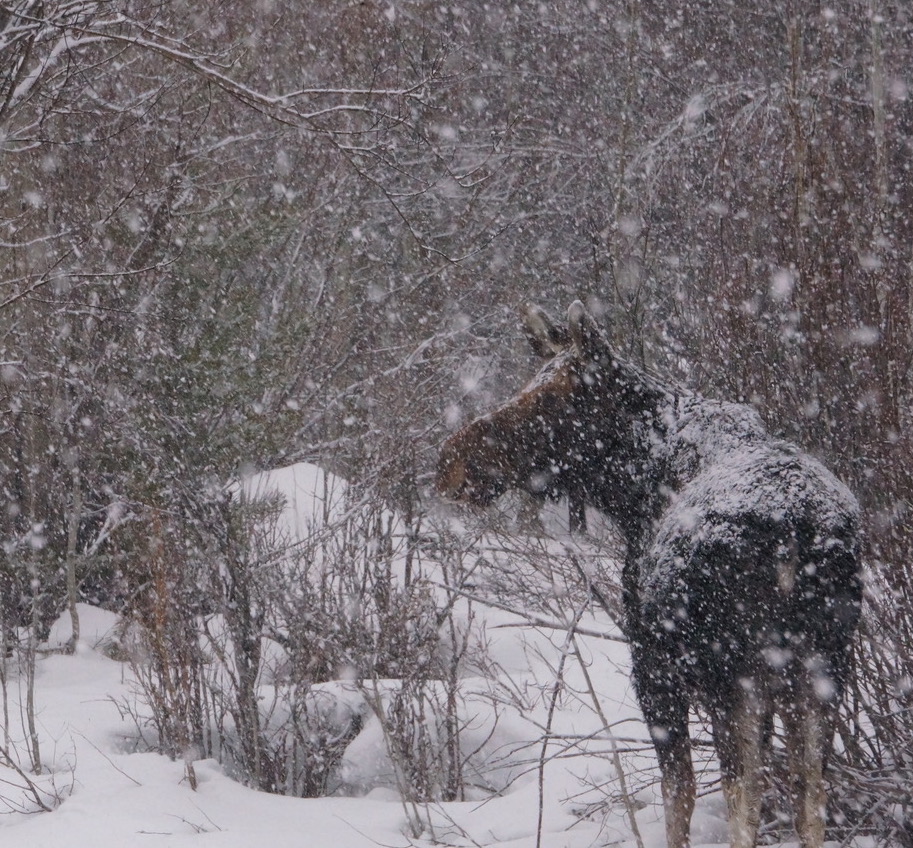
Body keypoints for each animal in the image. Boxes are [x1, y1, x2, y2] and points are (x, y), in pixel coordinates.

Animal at [436, 302, 864, 844]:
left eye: (553, 395)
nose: (450, 462)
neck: (631, 488)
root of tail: (793, 532)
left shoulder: (654, 667)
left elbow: (677, 796)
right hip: (823, 668)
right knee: (811, 795)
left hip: (736, 676)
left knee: (745, 797)